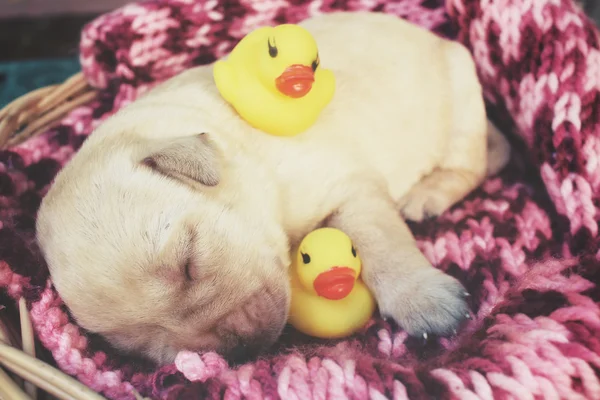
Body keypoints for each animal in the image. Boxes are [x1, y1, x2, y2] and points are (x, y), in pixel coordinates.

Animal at [35, 10, 508, 364]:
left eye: (189, 263)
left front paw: (422, 299)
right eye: (134, 346)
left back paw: (428, 195)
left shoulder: (350, 189)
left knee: (475, 165)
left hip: (462, 97)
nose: (242, 350)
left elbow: (381, 243)